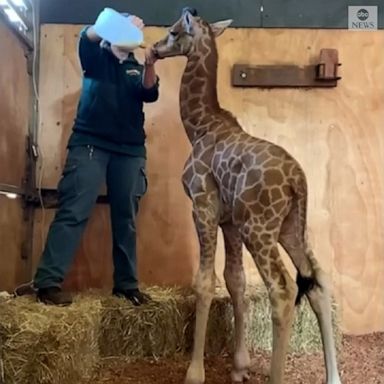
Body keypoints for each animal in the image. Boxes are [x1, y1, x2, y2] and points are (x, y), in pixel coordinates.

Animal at [152, 8, 342, 384]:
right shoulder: (230, 222)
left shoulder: (203, 206)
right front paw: (239, 367)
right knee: (318, 279)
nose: (153, 48)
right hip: (291, 227)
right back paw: (333, 377)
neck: (200, 127)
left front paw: (194, 373)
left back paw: (277, 377)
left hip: (261, 230)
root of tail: (298, 181)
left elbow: (205, 282)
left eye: (173, 32)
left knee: (283, 290)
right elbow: (235, 281)